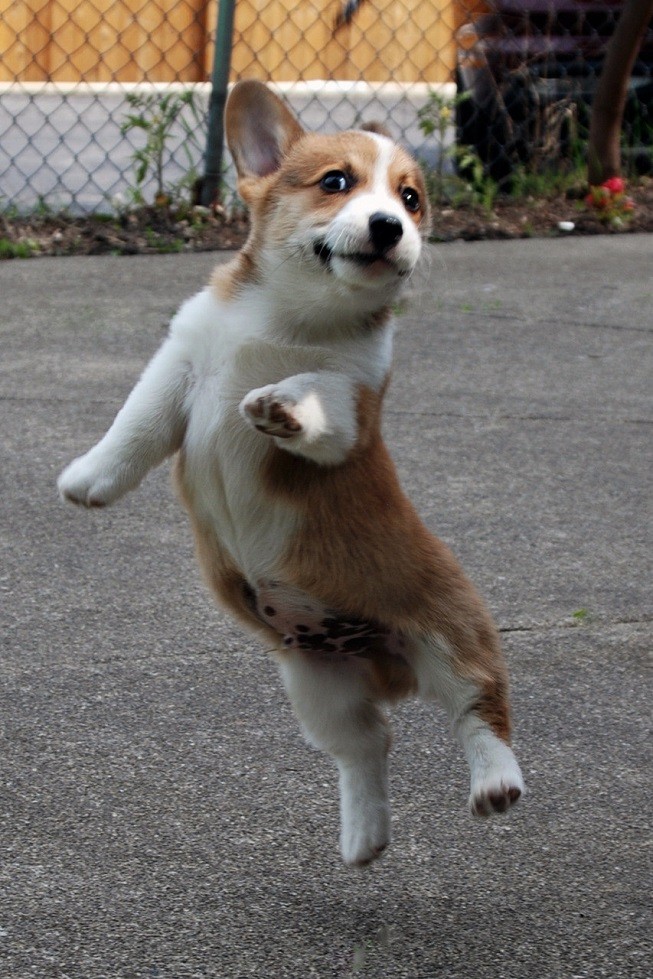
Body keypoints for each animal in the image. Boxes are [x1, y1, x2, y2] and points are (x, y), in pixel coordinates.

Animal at [57, 82, 524, 864]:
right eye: (335, 182)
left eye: (410, 198)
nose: (390, 226)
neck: (290, 320)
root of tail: (388, 665)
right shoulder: (180, 364)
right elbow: (137, 423)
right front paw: (90, 480)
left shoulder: (353, 405)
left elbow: (316, 392)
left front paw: (279, 404)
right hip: (317, 684)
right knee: (368, 744)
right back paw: (363, 838)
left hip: (453, 632)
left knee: (478, 706)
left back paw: (495, 781)